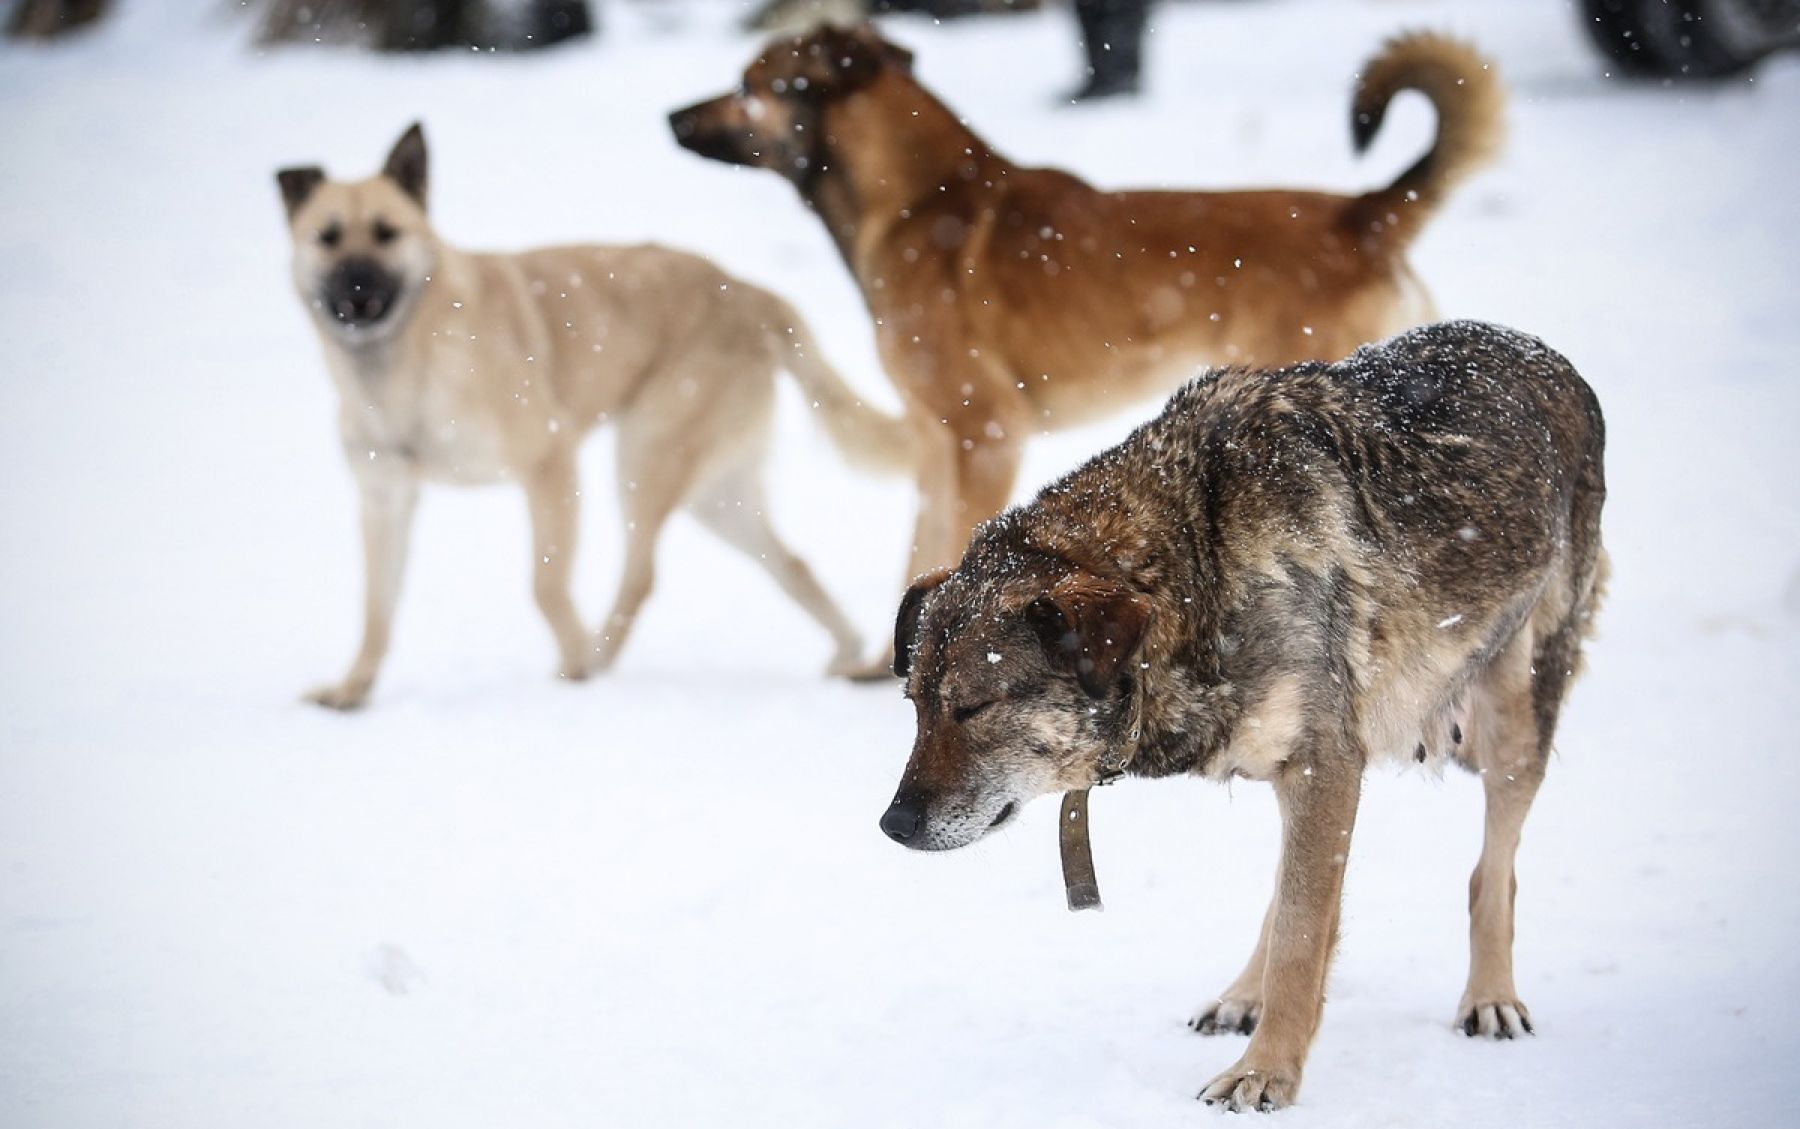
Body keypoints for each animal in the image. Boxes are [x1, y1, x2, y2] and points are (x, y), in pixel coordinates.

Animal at [277, 123, 914, 705]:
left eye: (387, 234)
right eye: (327, 237)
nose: (357, 288)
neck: (404, 365)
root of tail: (749, 293)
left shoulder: (549, 463)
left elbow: (545, 583)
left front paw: (575, 663)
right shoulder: (385, 501)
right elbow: (376, 609)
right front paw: (353, 690)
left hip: (644, 457)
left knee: (642, 576)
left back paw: (600, 657)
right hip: (717, 496)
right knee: (792, 564)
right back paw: (847, 652)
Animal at [878, 320, 1612, 1116]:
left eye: (974, 706)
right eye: (916, 706)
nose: (892, 824)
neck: (1199, 564)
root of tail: (1546, 353)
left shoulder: (1325, 765)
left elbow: (1301, 940)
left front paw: (1266, 1074)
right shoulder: (1319, 770)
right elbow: (1298, 915)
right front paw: (1261, 1028)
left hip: (1514, 721)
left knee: (1491, 872)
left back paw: (1490, 998)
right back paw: (1240, 996)